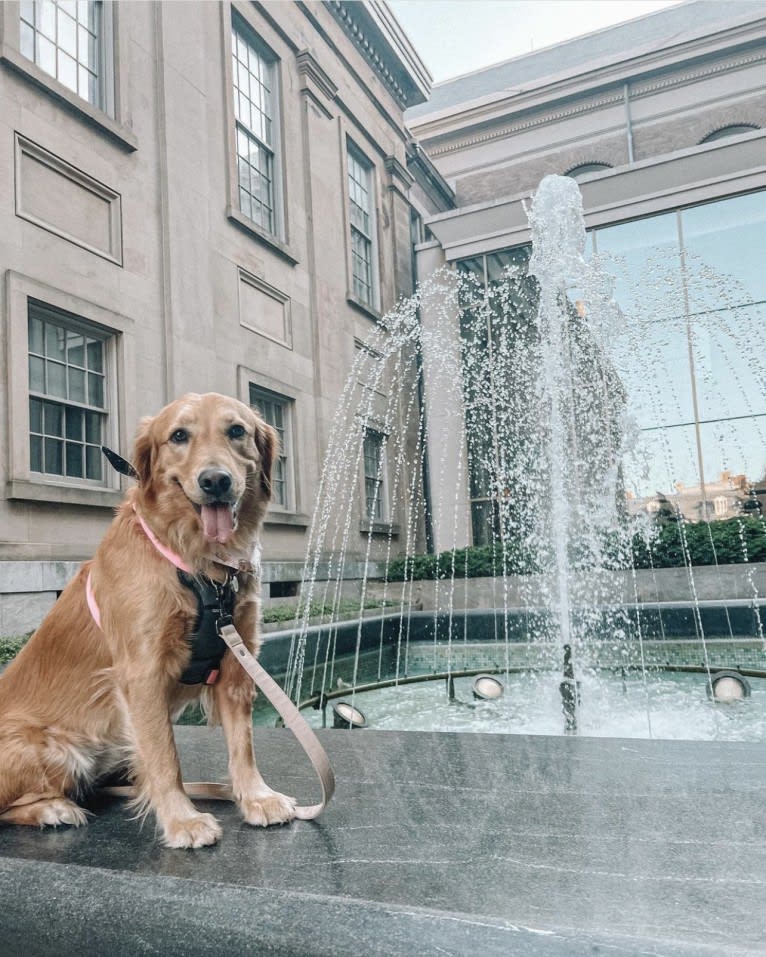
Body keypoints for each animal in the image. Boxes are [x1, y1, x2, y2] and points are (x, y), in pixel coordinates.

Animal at [0, 392, 296, 848]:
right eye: (178, 435)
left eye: (236, 431)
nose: (215, 481)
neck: (198, 564)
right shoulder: (142, 672)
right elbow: (163, 756)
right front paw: (182, 820)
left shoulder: (236, 664)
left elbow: (242, 744)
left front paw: (256, 797)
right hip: (54, 747)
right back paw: (53, 809)